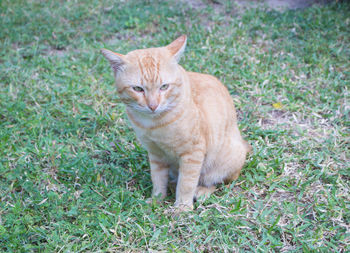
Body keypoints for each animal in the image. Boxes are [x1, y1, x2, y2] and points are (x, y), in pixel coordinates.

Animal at [101, 34, 252, 211]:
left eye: (164, 87)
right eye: (138, 89)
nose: (153, 105)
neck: (153, 125)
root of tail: (243, 145)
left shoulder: (193, 153)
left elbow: (187, 183)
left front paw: (182, 207)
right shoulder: (156, 154)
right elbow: (158, 179)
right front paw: (157, 199)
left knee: (218, 181)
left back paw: (202, 190)